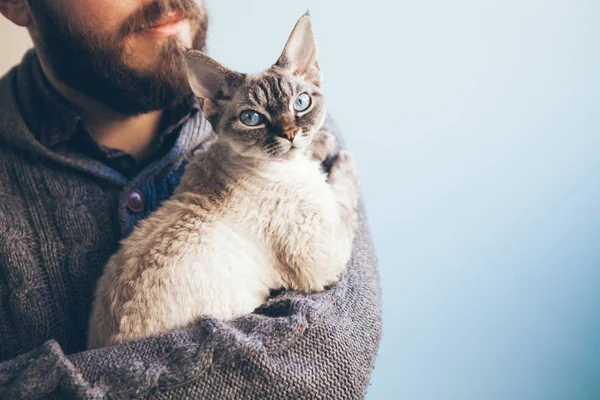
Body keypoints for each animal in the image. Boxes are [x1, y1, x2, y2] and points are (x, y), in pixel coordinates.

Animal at [89, 14, 358, 348]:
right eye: (252, 119)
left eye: (301, 103)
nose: (290, 134)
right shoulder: (323, 260)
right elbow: (344, 196)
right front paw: (341, 157)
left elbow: (319, 162)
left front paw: (322, 144)